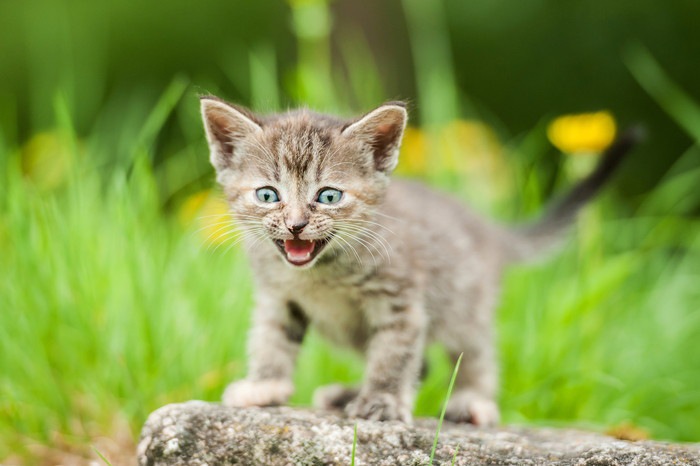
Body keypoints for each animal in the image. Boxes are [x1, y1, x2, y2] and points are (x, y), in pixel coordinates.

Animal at [198, 95, 640, 426]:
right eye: (268, 195)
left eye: (328, 196)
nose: (295, 225)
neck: (320, 274)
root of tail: (485, 227)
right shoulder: (277, 297)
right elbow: (271, 341)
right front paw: (265, 385)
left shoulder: (401, 301)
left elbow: (394, 356)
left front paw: (382, 401)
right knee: (423, 364)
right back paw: (347, 393)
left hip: (464, 305)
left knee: (474, 353)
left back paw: (472, 399)